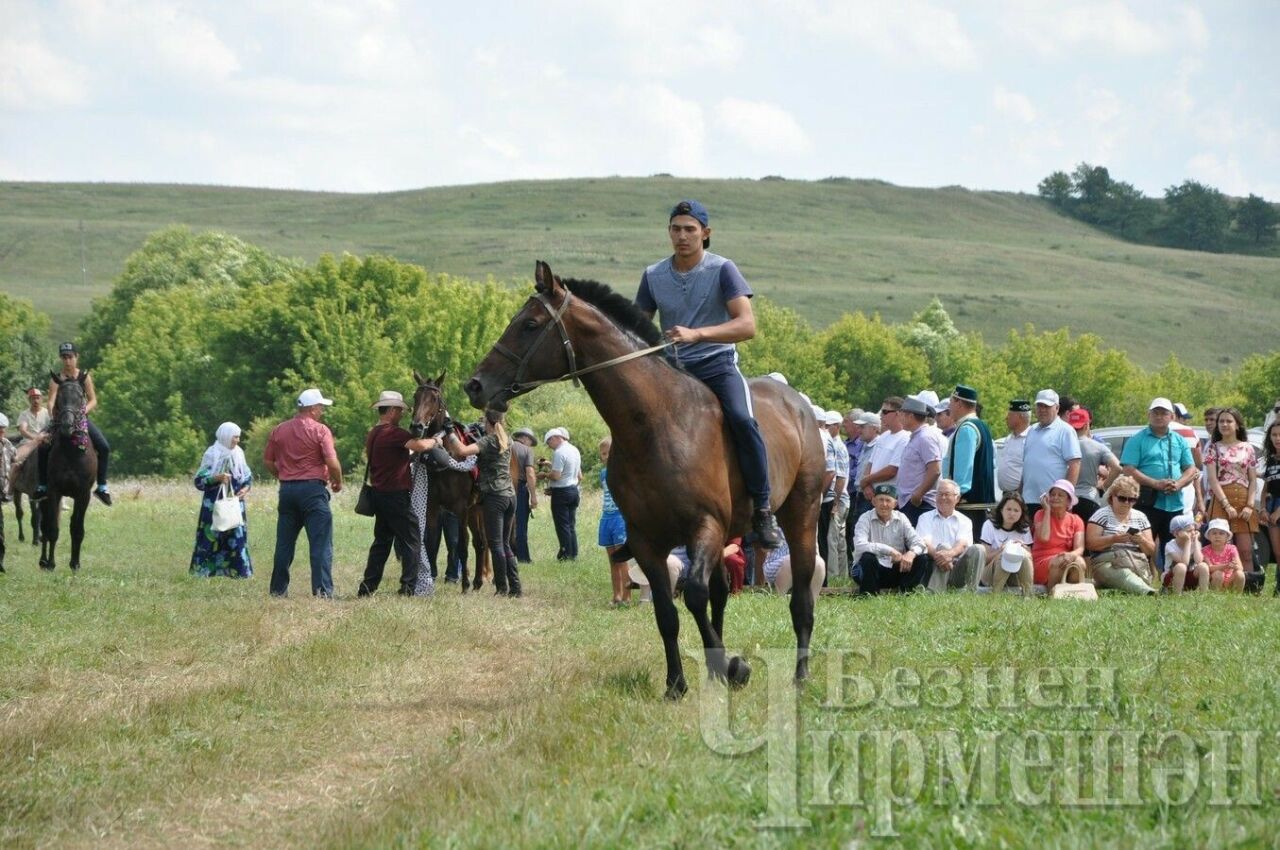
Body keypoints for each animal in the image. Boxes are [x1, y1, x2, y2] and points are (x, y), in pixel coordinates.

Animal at [39, 373, 95, 568]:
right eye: (59, 398)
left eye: (80, 397)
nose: (66, 426)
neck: (72, 452)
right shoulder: (54, 491)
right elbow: (53, 529)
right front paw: (51, 564)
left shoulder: (83, 494)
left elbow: (77, 529)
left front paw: (75, 564)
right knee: (45, 526)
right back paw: (43, 561)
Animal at [412, 368, 491, 593]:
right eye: (415, 396)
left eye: (434, 398)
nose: (416, 426)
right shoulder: (432, 506)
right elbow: (431, 543)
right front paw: (428, 582)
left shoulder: (460, 507)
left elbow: (461, 545)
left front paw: (464, 584)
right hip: (474, 510)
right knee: (479, 542)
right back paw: (477, 582)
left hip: (480, 508)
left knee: (480, 542)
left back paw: (475, 582)